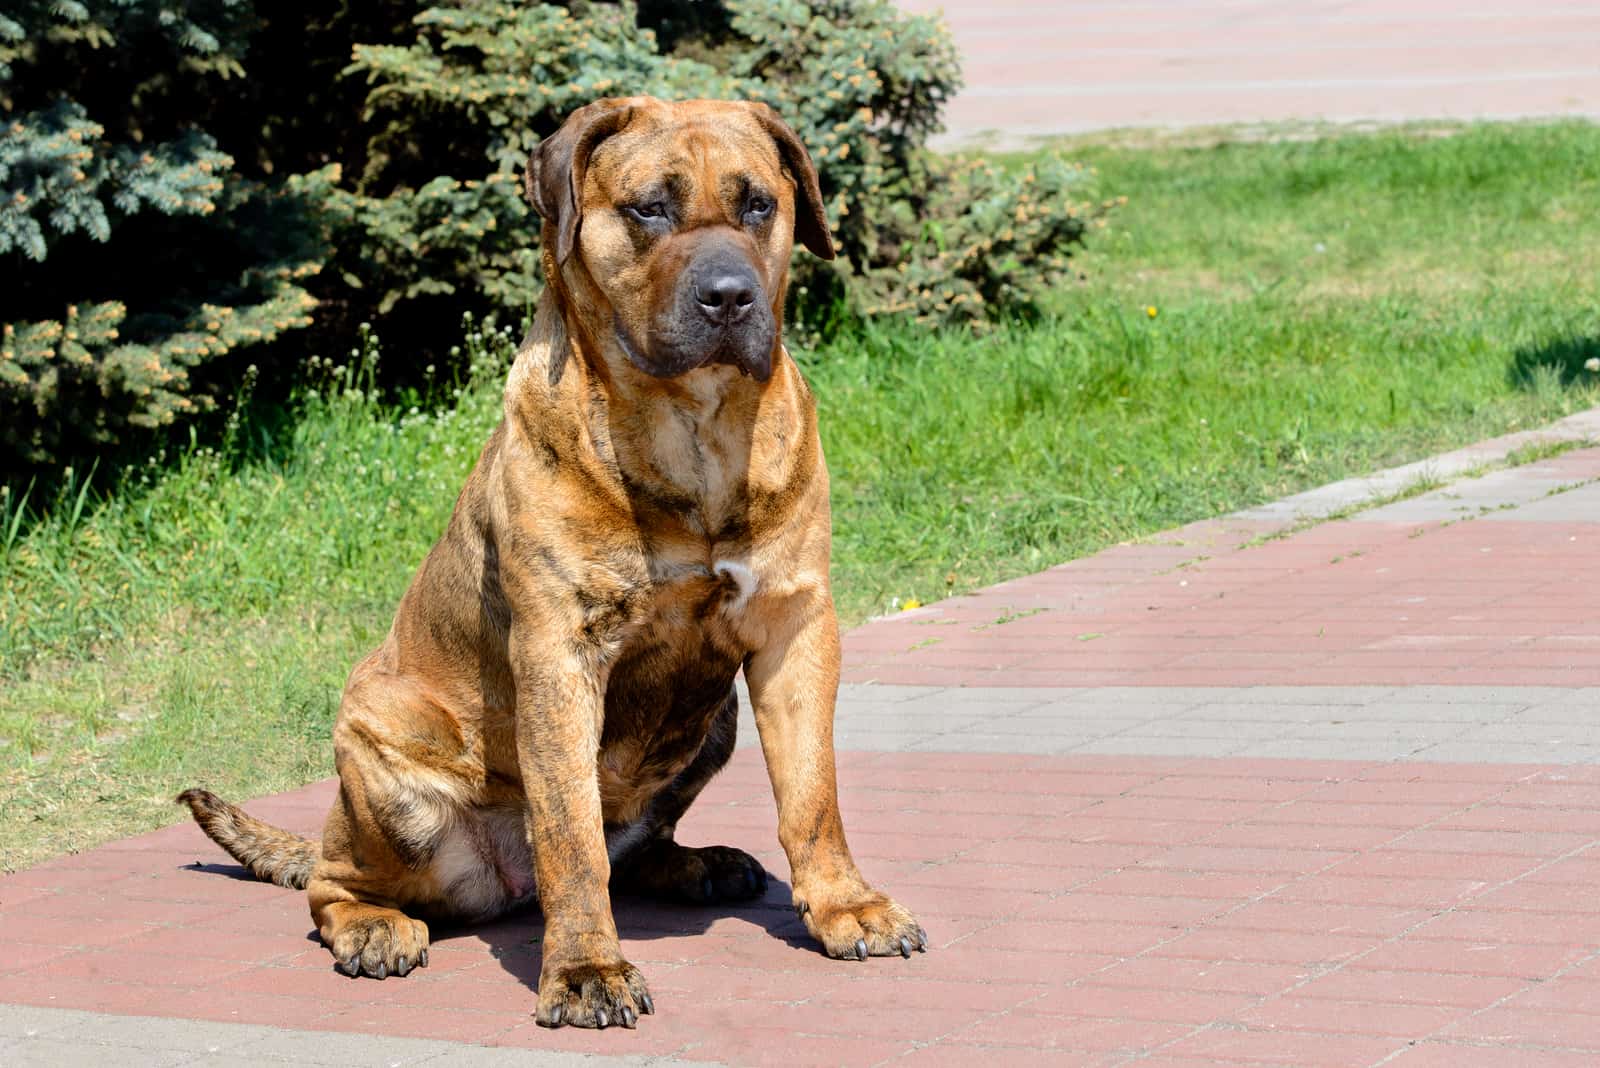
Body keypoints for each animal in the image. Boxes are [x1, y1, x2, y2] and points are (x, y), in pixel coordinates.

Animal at [178, 97, 928, 1023]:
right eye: (650, 209)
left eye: (759, 204)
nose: (730, 297)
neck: (693, 430)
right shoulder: (559, 654)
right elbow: (571, 833)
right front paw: (584, 969)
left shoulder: (795, 627)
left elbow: (812, 792)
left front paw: (846, 906)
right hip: (380, 759)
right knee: (335, 879)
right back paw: (374, 926)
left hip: (712, 719)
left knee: (637, 841)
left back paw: (700, 864)